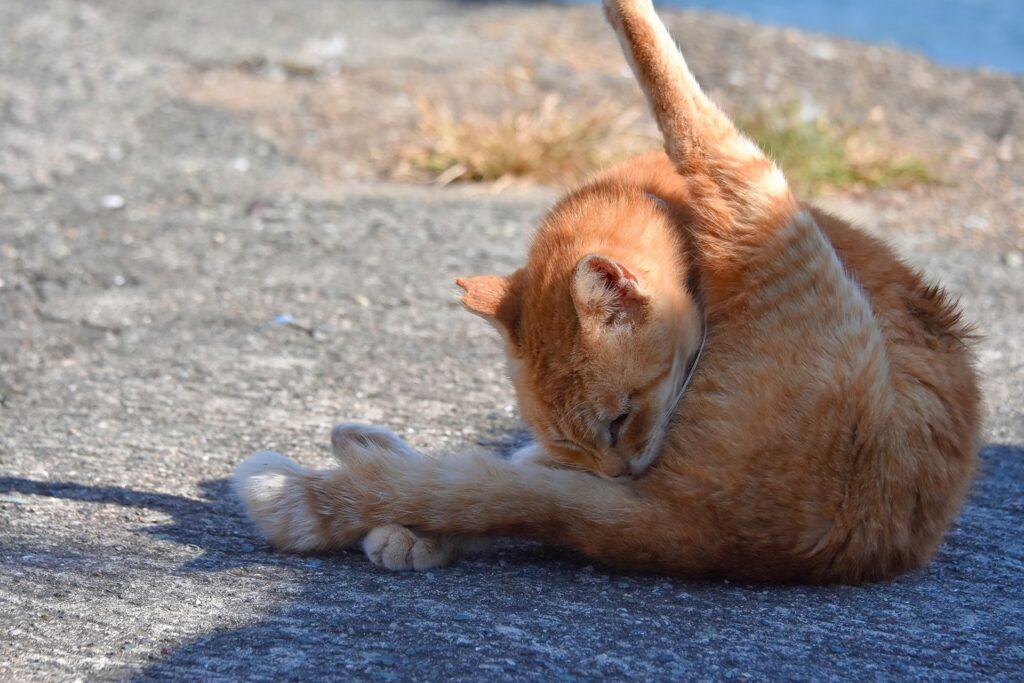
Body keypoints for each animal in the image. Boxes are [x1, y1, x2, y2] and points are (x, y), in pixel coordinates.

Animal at [234, 0, 981, 583]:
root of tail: (701, 532)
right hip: (755, 185)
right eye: (589, 439)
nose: (615, 472)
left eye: (618, 420)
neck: (649, 189)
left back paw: (382, 485)